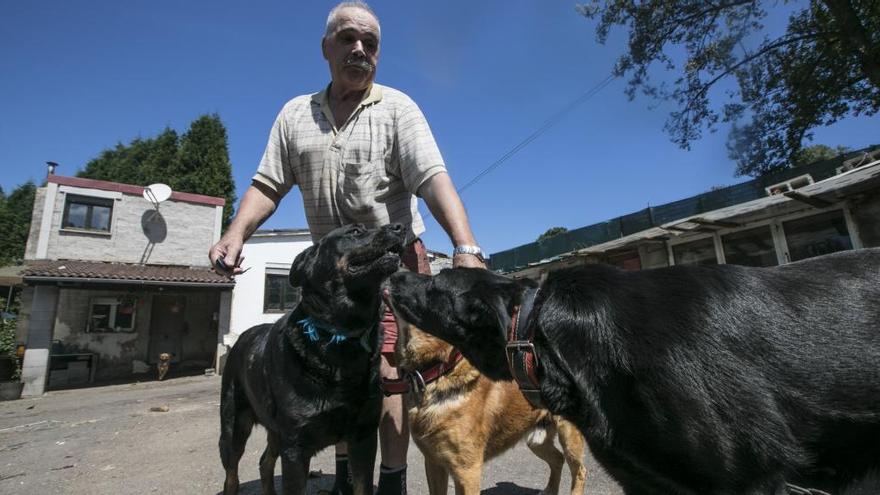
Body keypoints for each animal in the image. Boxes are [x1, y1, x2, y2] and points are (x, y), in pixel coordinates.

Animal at [220, 224, 406, 495]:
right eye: (355, 231)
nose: (400, 228)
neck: (341, 336)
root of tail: (241, 338)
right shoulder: (296, 448)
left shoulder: (364, 437)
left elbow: (362, 486)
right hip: (234, 426)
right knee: (231, 474)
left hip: (275, 431)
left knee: (265, 462)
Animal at [384, 300, 584, 494]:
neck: (441, 371)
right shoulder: (433, 462)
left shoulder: (467, 471)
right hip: (536, 438)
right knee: (557, 459)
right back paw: (550, 489)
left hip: (569, 436)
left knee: (579, 470)